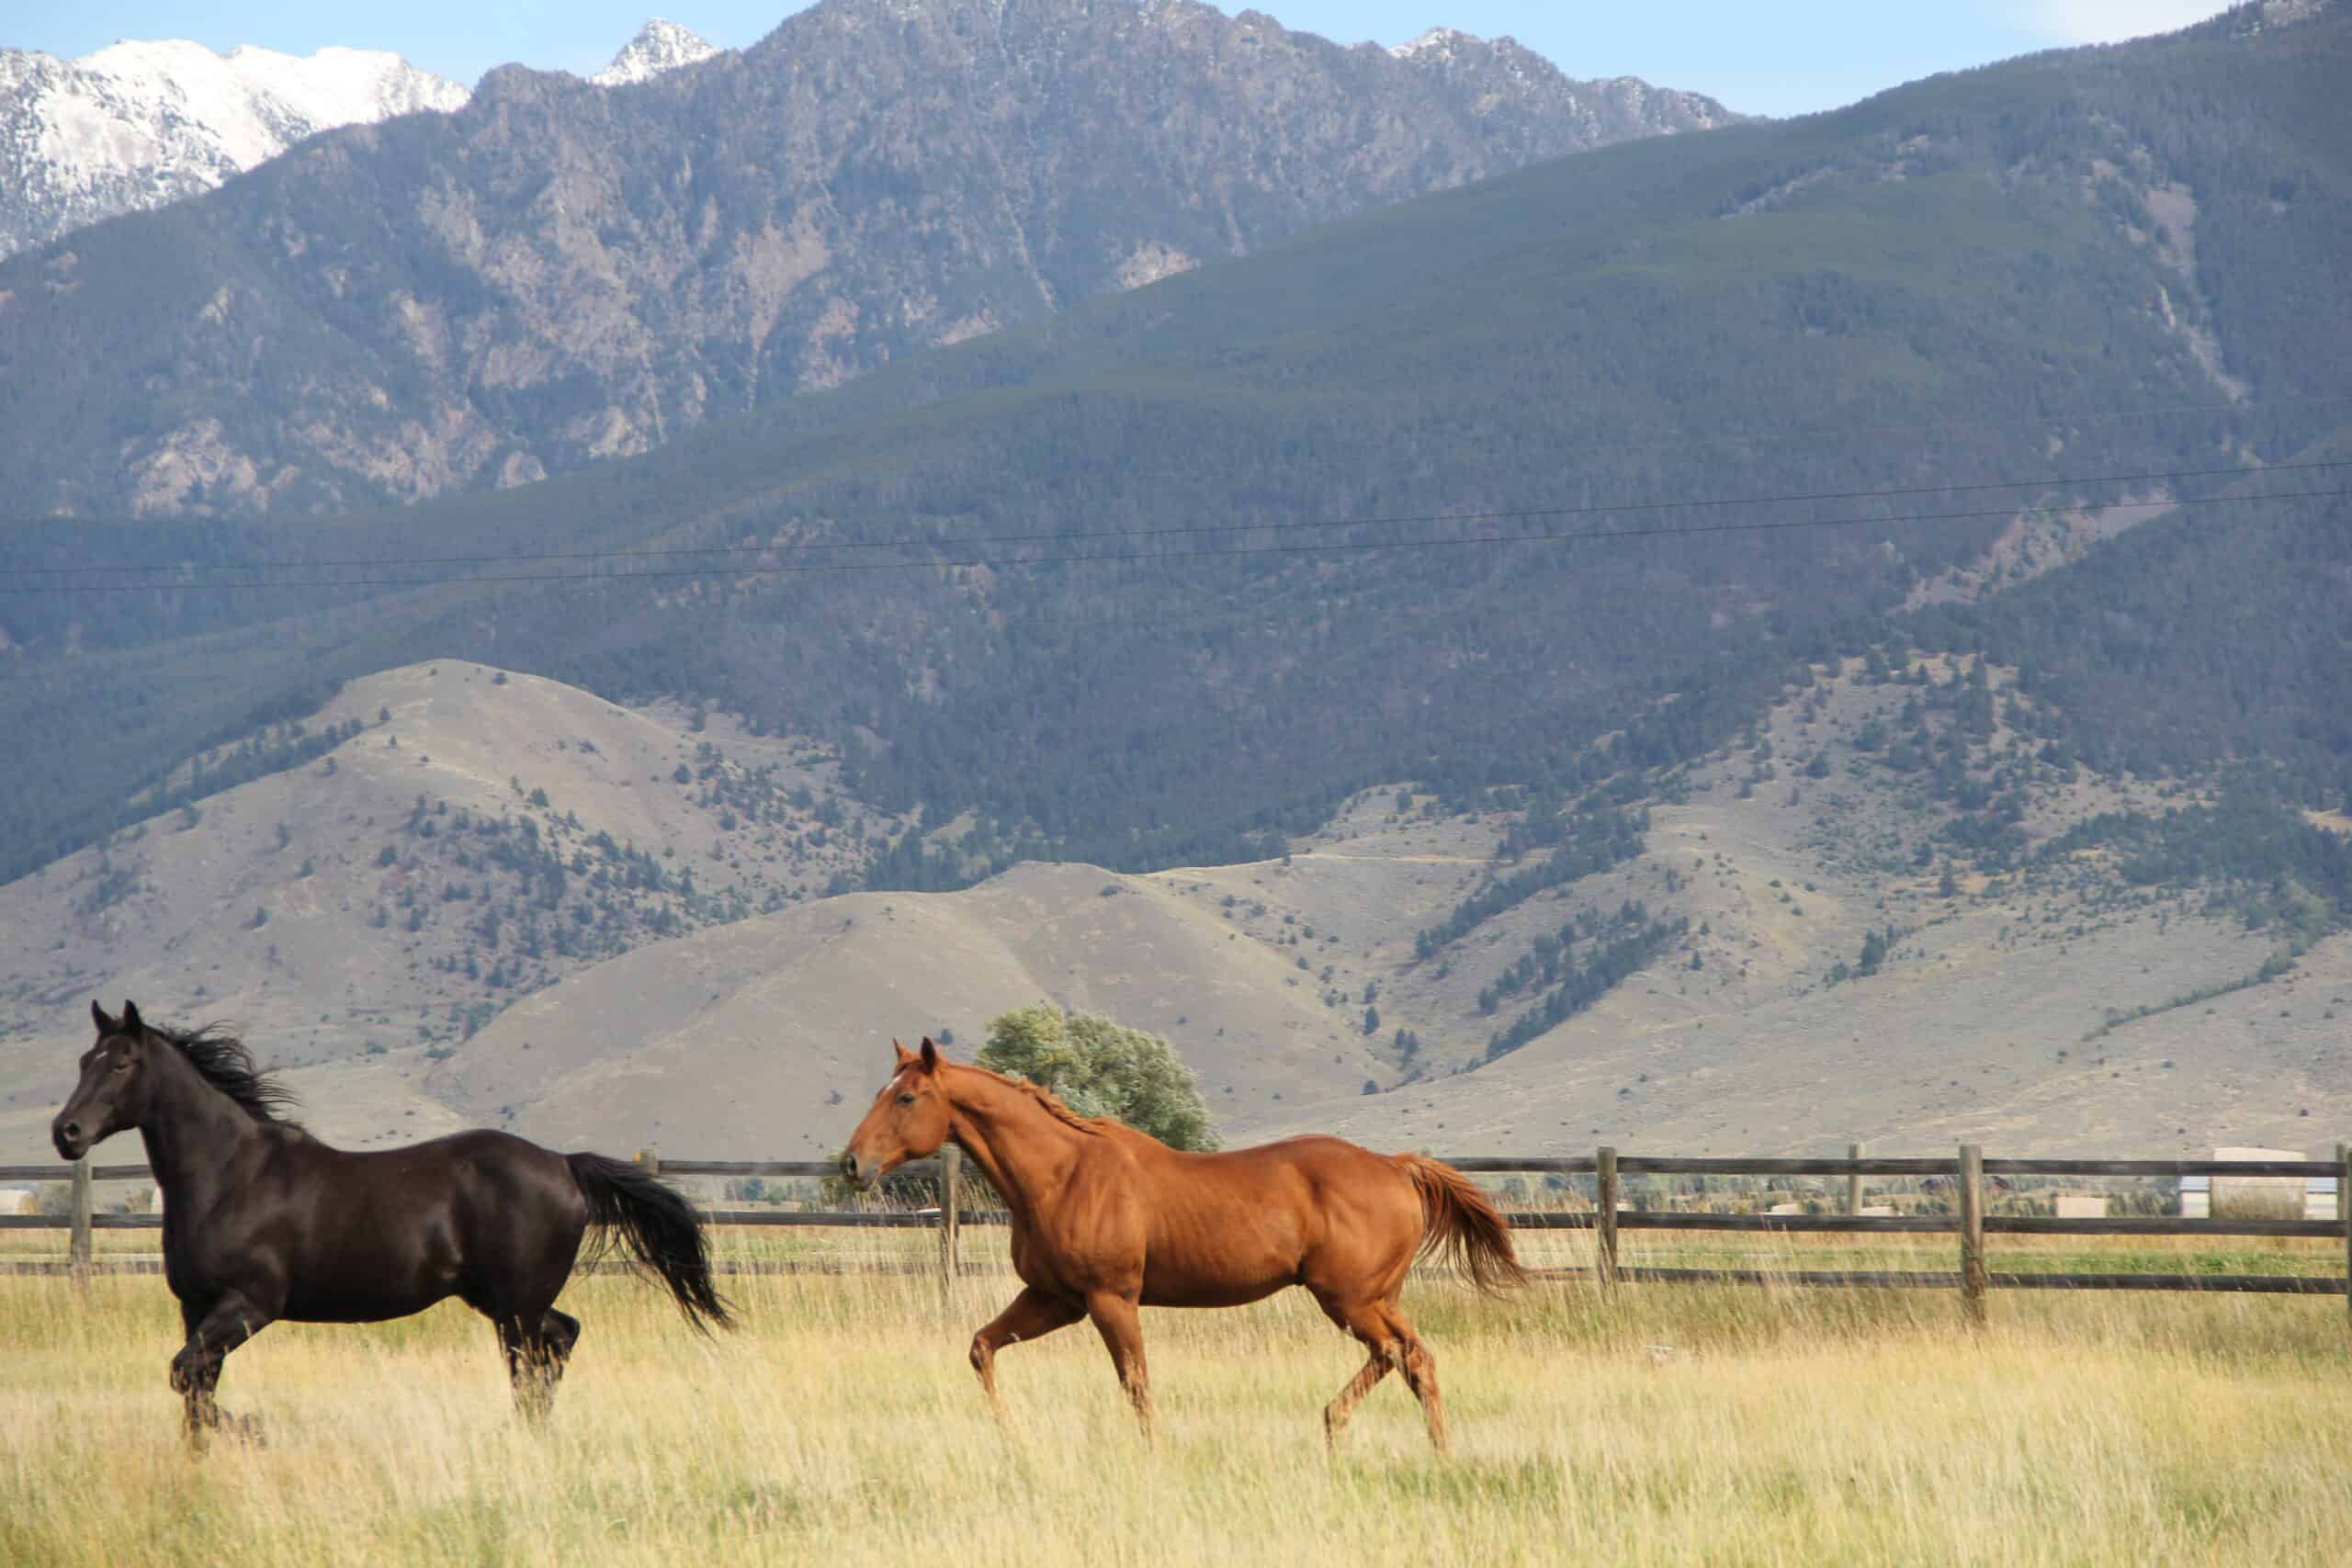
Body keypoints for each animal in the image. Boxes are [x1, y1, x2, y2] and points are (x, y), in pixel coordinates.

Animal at [51, 1000, 732, 1440]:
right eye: (83, 1059)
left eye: (122, 1062)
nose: (67, 1132)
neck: (230, 1175)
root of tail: (563, 1165)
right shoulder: (197, 1307)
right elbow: (195, 1386)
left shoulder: (250, 1303)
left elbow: (185, 1375)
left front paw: (250, 1428)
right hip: (505, 1300)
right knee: (559, 1341)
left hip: (515, 1305)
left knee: (535, 1359)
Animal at [841, 1037, 1525, 1452]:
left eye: (907, 1096)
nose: (851, 1165)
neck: (1062, 1173)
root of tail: (1395, 1166)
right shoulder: (1054, 1298)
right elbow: (982, 1347)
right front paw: (1013, 1436)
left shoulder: (1111, 1299)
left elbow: (1136, 1384)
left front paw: (1155, 1453)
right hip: (1376, 1297)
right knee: (1416, 1359)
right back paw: (1431, 1450)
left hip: (1349, 1299)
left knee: (1395, 1354)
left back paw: (1335, 1426)